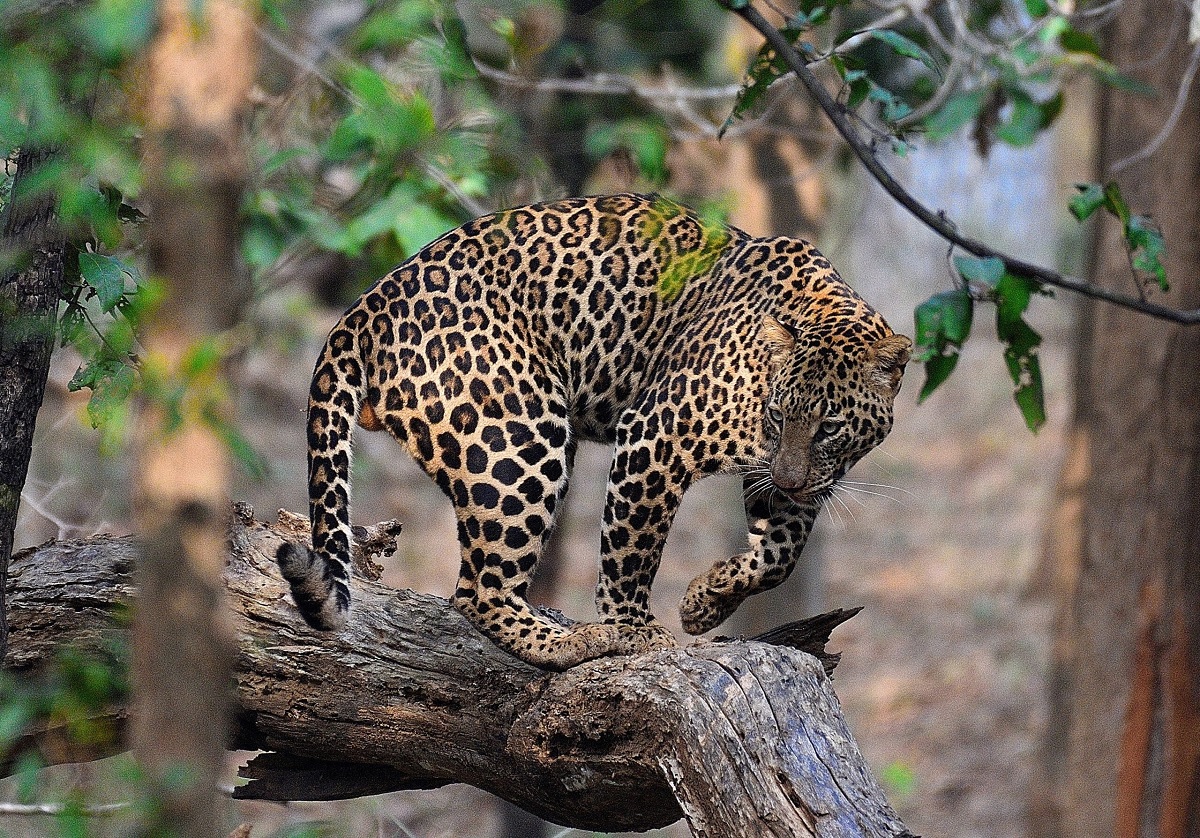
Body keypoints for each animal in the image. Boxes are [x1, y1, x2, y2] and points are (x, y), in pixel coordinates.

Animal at [274, 192, 907, 667]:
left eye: (829, 427)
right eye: (778, 414)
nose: (790, 478)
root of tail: (362, 309)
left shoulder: (795, 479)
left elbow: (780, 555)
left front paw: (705, 602)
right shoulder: (656, 436)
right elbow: (633, 548)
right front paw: (635, 628)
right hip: (521, 441)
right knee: (478, 593)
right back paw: (578, 640)